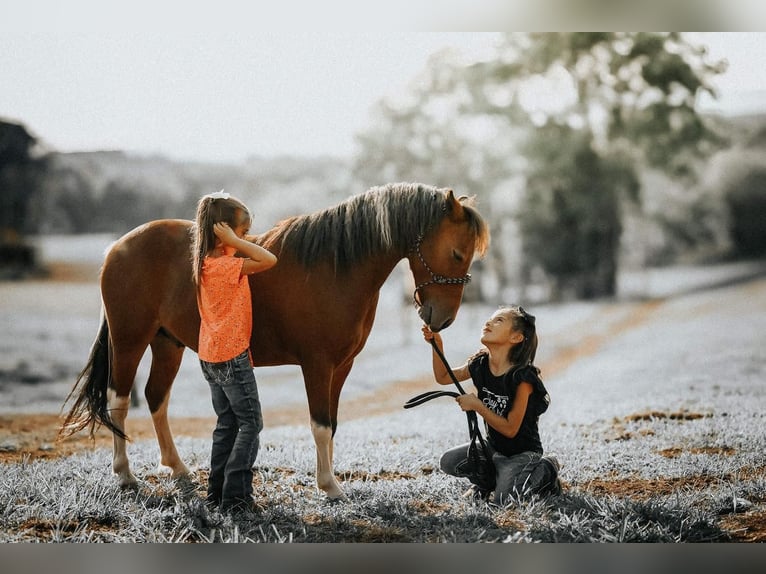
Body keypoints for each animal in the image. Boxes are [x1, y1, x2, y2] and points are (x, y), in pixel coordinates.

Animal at [61, 184, 492, 500]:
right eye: (457, 253)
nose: (442, 319)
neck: (337, 267)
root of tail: (117, 248)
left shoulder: (342, 365)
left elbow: (333, 424)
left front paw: (330, 480)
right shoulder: (317, 364)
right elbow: (320, 424)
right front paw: (329, 487)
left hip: (168, 344)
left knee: (155, 397)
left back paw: (178, 469)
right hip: (129, 340)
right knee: (119, 400)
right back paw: (125, 476)